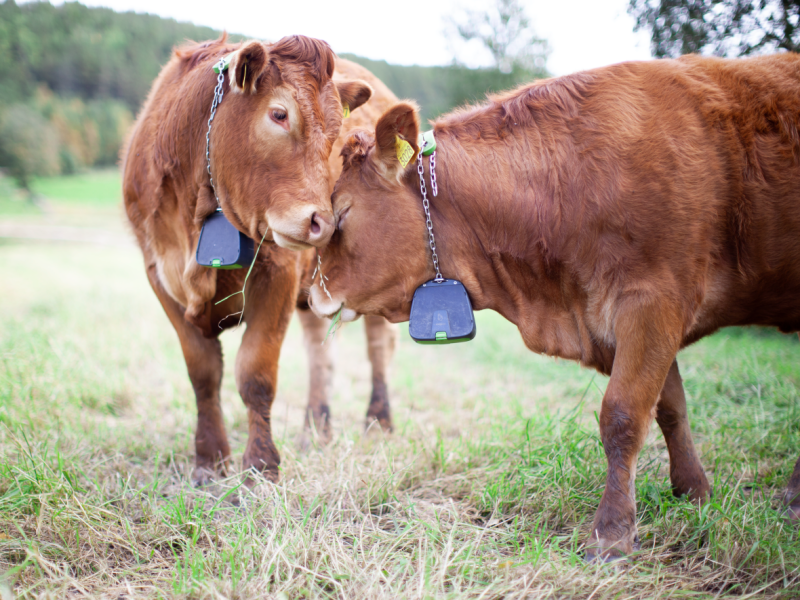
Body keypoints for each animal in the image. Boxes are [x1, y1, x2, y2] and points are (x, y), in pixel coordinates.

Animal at [122, 34, 399, 486]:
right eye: (279, 114)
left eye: (336, 132)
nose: (323, 223)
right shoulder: (159, 275)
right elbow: (203, 374)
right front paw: (209, 459)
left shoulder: (278, 273)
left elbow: (256, 374)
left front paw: (260, 467)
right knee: (320, 355)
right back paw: (315, 431)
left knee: (379, 348)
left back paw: (378, 424)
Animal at [308, 53, 800, 561]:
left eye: (343, 212)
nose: (313, 295)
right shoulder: (636, 322)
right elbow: (670, 409)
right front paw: (694, 492)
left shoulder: (653, 302)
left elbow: (623, 415)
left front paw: (612, 532)